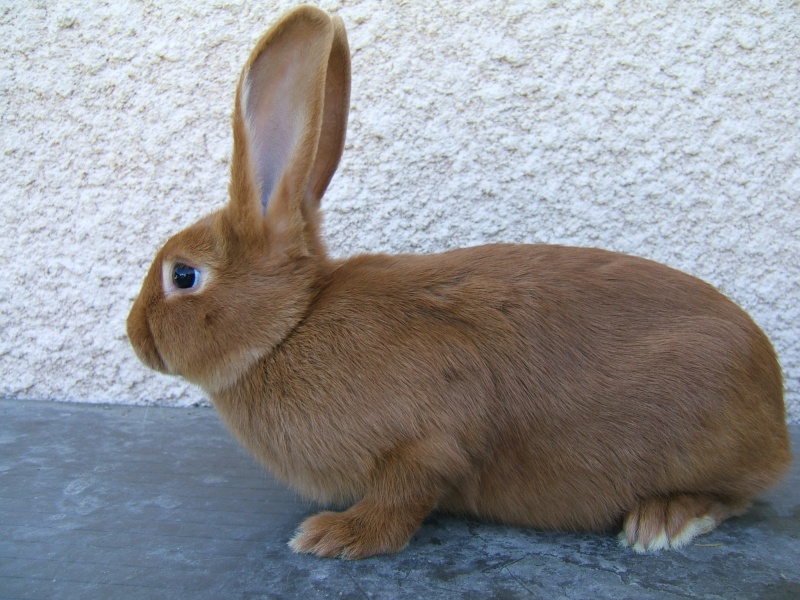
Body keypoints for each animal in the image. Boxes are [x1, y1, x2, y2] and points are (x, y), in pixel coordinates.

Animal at [128, 4, 792, 560]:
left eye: (183, 275)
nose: (133, 335)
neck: (291, 326)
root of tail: (778, 416)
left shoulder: (428, 439)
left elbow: (404, 494)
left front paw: (335, 536)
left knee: (736, 494)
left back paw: (662, 521)